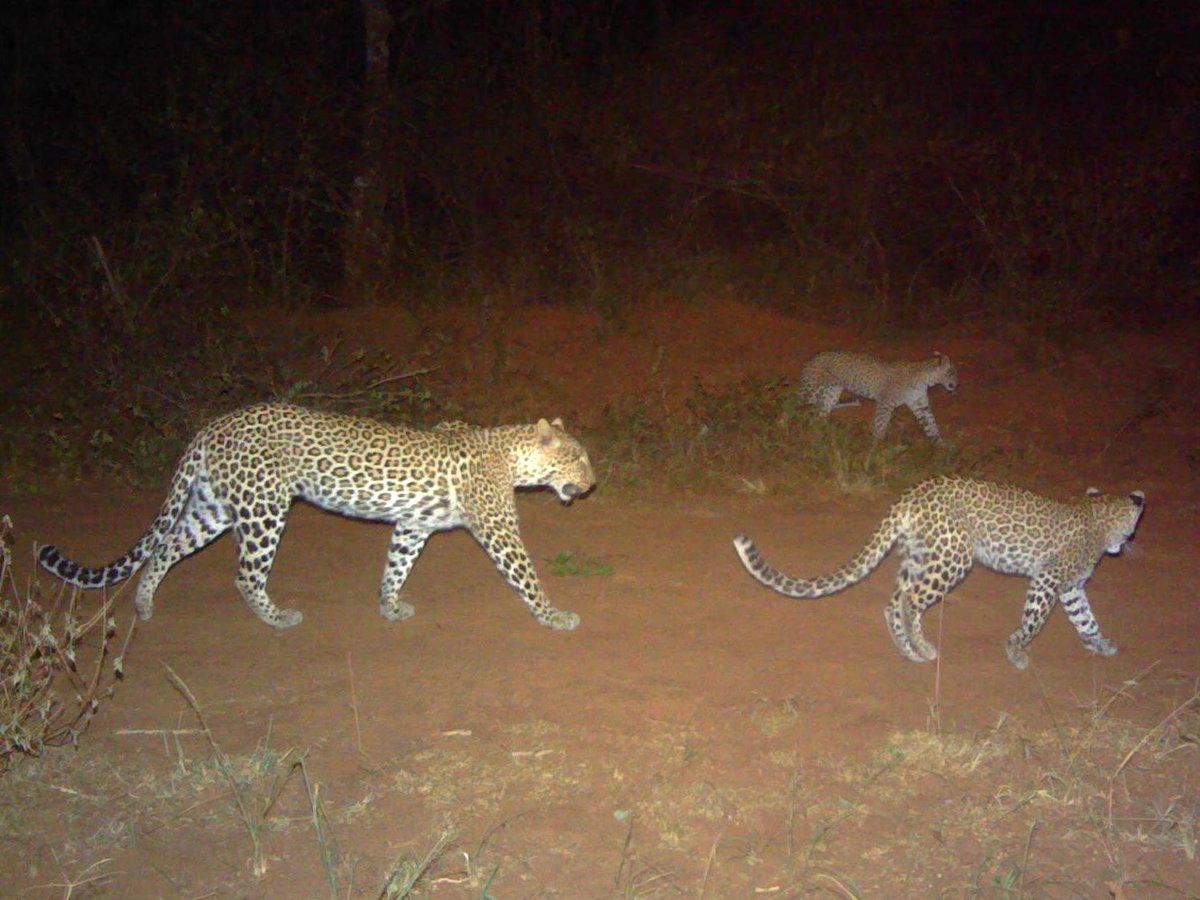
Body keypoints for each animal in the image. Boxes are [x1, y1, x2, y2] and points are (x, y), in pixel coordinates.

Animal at [38, 402, 596, 631]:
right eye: (577, 458)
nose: (592, 484)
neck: (511, 456)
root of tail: (212, 426)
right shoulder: (499, 531)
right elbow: (526, 575)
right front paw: (554, 616)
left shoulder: (413, 525)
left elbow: (397, 565)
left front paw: (389, 606)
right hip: (263, 508)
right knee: (245, 574)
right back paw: (277, 618)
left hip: (214, 507)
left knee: (166, 546)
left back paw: (145, 604)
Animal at [733, 476, 1144, 669]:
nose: (1123, 546)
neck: (1098, 516)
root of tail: (912, 494)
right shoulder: (1048, 579)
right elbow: (1034, 620)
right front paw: (1016, 652)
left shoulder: (1072, 587)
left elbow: (1085, 618)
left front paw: (1100, 644)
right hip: (952, 558)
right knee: (911, 601)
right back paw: (925, 647)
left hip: (917, 556)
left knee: (893, 603)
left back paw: (909, 652)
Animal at [797, 350, 958, 441]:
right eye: (951, 373)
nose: (957, 384)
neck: (924, 380)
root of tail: (810, 359)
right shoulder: (885, 403)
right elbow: (881, 424)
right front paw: (877, 445)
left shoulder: (920, 405)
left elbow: (932, 425)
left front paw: (941, 448)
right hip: (811, 390)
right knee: (798, 402)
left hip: (831, 393)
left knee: (822, 411)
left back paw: (823, 430)